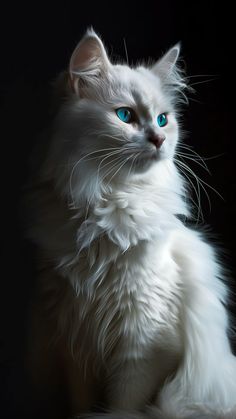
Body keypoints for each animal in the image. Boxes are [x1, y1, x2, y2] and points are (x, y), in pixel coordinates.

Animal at [27, 29, 236, 419]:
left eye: (163, 120)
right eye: (125, 115)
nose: (160, 139)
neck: (106, 205)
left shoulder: (146, 346)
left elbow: (121, 407)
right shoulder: (73, 342)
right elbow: (82, 405)